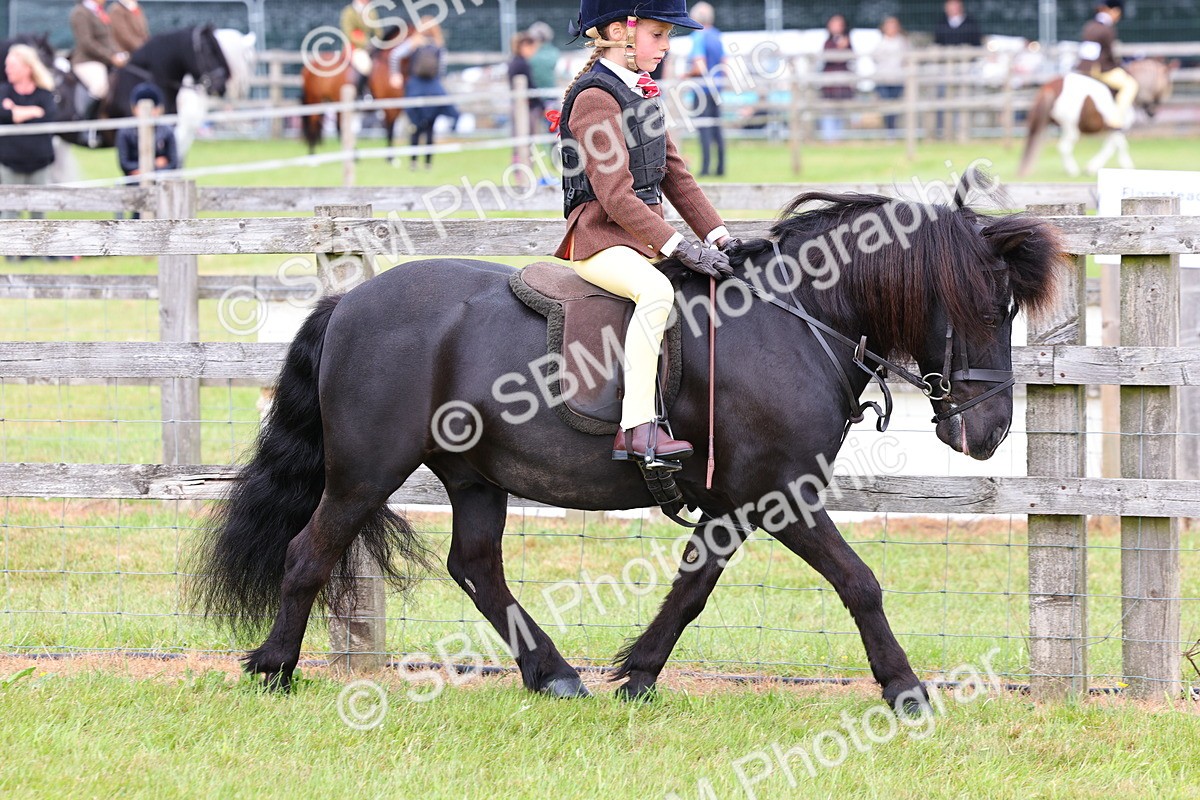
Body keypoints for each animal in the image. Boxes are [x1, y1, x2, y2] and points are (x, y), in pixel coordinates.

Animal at [192, 173, 1064, 709]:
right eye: (986, 307)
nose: (990, 432)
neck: (795, 321)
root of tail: (349, 301)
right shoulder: (782, 494)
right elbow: (861, 583)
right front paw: (906, 689)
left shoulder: (732, 503)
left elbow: (692, 588)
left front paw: (639, 674)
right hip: (366, 471)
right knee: (310, 552)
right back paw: (273, 669)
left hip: (474, 475)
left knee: (475, 567)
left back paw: (552, 674)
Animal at [1018, 59, 1174, 177]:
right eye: (1167, 85)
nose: (1152, 113)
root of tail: (1050, 86)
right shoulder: (1118, 127)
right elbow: (1115, 146)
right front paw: (1096, 167)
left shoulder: (1114, 129)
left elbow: (1116, 145)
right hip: (1071, 126)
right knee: (1064, 146)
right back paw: (1073, 171)